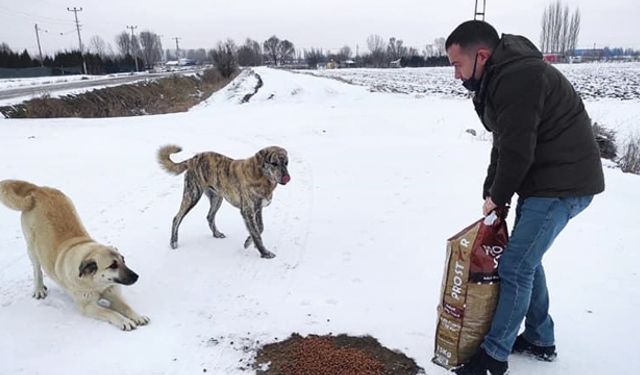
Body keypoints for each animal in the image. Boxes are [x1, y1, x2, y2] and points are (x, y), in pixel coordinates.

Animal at [0, 181, 149, 330]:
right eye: (112, 265)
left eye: (123, 260)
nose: (136, 276)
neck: (96, 284)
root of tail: (38, 189)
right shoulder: (87, 306)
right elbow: (110, 312)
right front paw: (125, 321)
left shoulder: (113, 295)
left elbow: (126, 307)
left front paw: (138, 317)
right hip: (32, 247)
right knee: (37, 269)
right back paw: (39, 289)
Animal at [158, 145, 290, 260]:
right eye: (274, 163)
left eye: (286, 163)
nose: (287, 177)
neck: (261, 175)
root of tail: (193, 159)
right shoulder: (247, 211)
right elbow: (256, 234)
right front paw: (265, 253)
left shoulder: (257, 209)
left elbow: (260, 228)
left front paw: (248, 241)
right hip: (192, 195)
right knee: (177, 218)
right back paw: (174, 242)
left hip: (217, 198)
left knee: (209, 216)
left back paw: (216, 234)